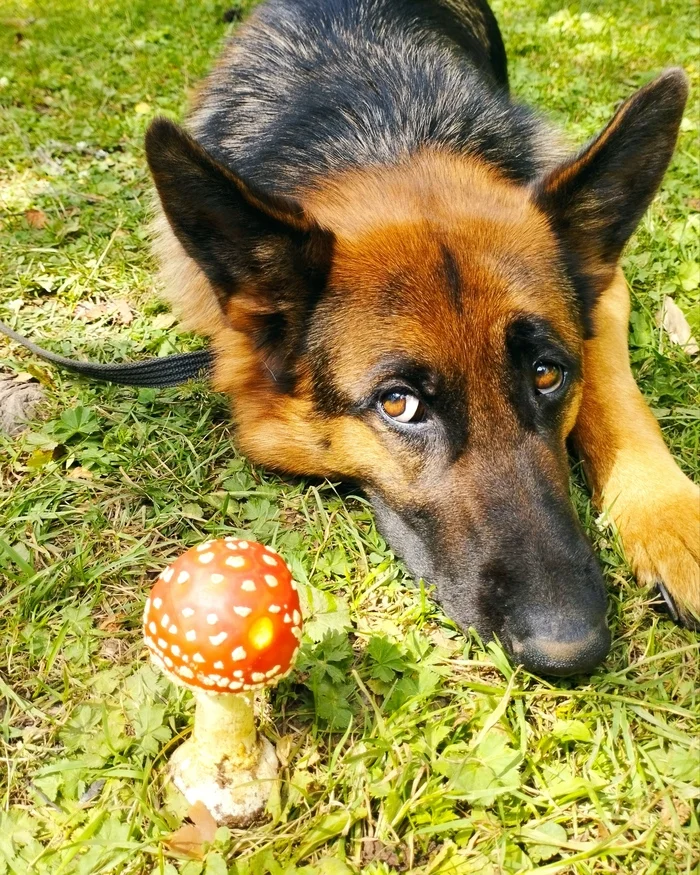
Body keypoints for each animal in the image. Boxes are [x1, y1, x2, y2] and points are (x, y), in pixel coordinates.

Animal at [145, 0, 696, 676]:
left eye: (547, 373)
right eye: (399, 404)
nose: (571, 649)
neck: (389, 139)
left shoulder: (608, 296)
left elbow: (616, 393)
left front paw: (670, 519)